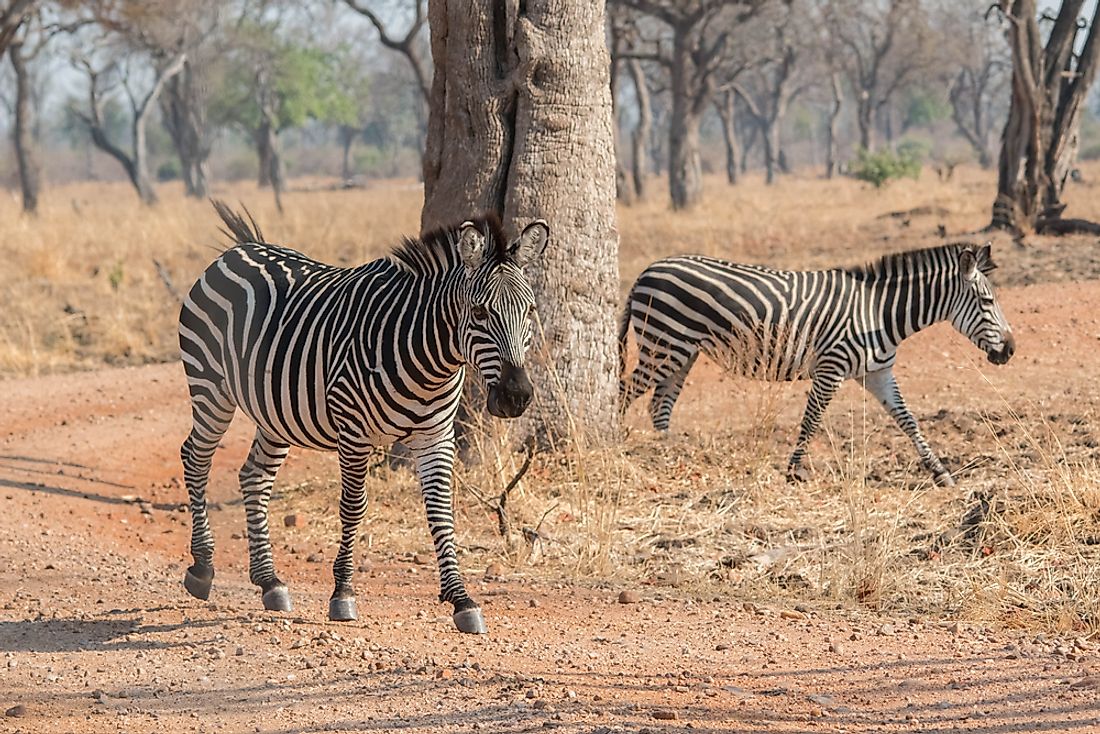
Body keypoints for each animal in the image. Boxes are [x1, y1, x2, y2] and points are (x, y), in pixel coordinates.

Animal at [179, 203, 550, 633]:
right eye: (478, 312)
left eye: (530, 310)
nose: (516, 396)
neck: (428, 357)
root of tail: (242, 248)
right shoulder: (354, 431)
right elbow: (353, 507)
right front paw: (343, 594)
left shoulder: (436, 435)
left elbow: (441, 510)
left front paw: (461, 599)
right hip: (210, 386)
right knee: (195, 458)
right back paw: (202, 568)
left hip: (276, 414)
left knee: (254, 477)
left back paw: (269, 581)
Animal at [624, 242, 1016, 488]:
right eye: (987, 301)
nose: (1010, 350)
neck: (878, 313)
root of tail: (648, 270)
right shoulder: (831, 368)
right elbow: (811, 419)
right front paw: (795, 471)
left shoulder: (878, 373)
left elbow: (908, 421)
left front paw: (940, 472)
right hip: (664, 344)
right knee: (625, 391)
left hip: (682, 352)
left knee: (660, 404)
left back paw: (672, 453)